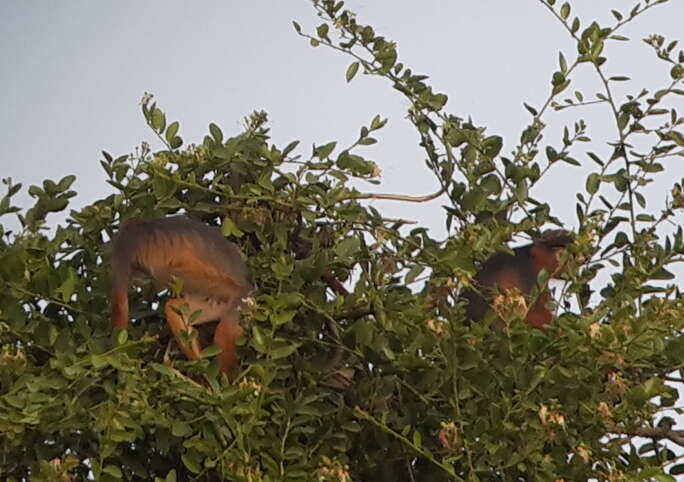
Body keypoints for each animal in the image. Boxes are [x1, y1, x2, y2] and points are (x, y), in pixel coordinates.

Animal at [111, 217, 255, 374]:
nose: (137, 279)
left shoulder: (127, 246)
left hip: (236, 302)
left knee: (226, 326)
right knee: (174, 308)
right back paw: (200, 364)